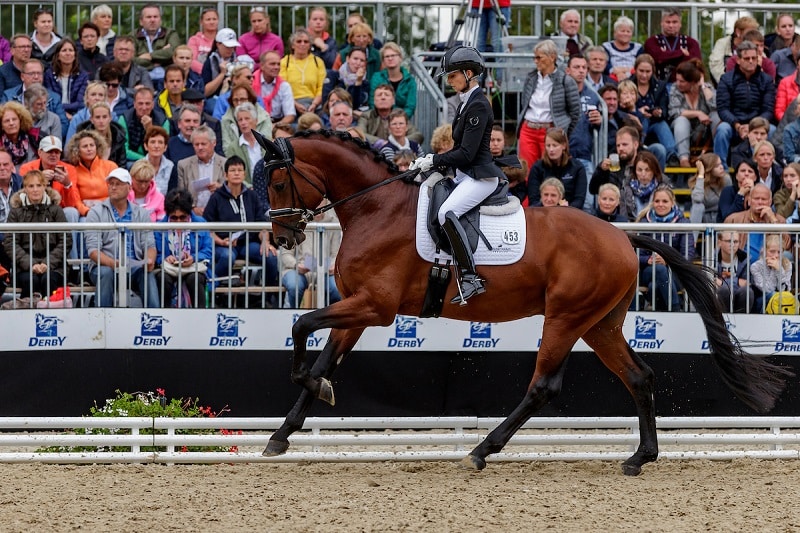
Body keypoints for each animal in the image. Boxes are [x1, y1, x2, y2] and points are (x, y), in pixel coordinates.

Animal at [255, 130, 791, 476]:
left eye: (278, 182)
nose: (282, 239)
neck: (375, 208)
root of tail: (622, 236)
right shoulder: (358, 308)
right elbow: (323, 356)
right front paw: (283, 433)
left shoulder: (375, 307)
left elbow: (302, 327)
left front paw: (313, 391)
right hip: (599, 325)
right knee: (639, 377)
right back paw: (641, 457)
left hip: (565, 319)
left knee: (543, 387)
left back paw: (482, 450)